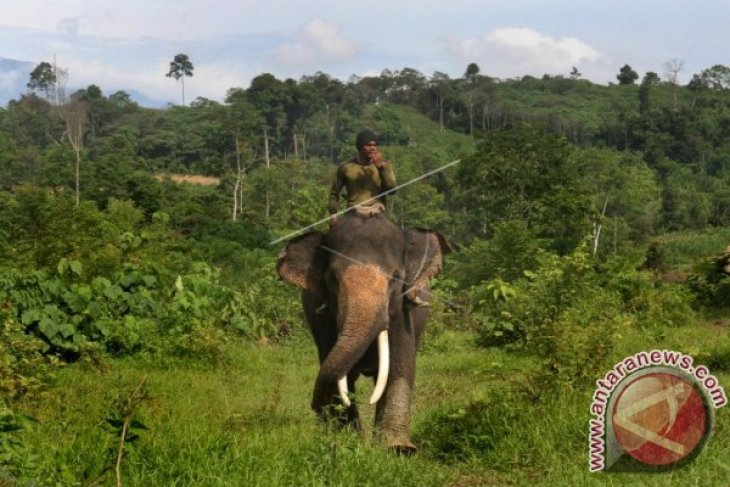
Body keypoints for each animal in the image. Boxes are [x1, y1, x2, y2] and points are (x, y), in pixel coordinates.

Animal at [276, 215, 446, 452]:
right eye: (333, 278)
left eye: (396, 278)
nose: (316, 407)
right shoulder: (325, 320)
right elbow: (338, 372)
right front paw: (347, 442)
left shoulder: (403, 312)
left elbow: (401, 364)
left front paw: (398, 449)